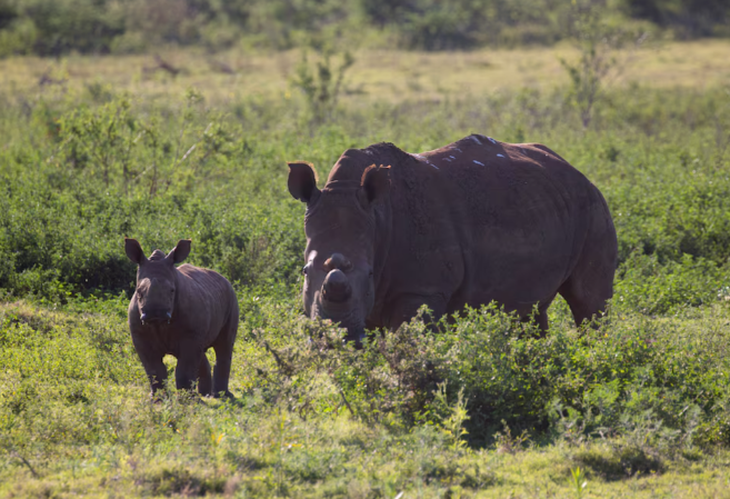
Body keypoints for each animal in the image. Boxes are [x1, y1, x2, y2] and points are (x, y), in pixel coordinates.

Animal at [124, 238, 239, 398]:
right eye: (138, 291)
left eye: (172, 291)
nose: (155, 313)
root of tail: (223, 277)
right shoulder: (139, 335)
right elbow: (153, 368)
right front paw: (158, 399)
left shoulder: (190, 333)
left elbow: (185, 367)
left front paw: (186, 399)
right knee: (201, 352)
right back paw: (205, 394)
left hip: (231, 296)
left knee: (224, 346)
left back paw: (221, 396)